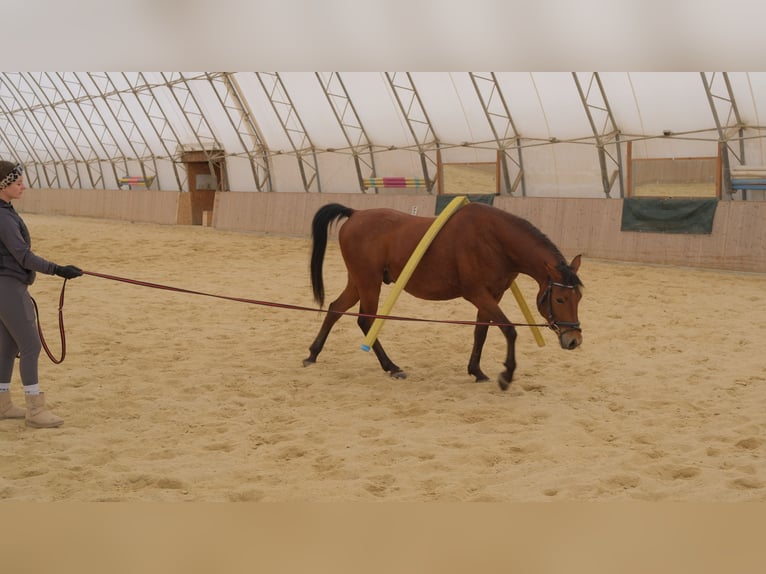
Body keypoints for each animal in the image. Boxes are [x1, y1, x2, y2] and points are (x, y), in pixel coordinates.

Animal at [303, 201, 583, 390]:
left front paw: (476, 370)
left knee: (335, 308)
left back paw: (313, 354)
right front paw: (507, 375)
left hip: (358, 282)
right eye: (559, 299)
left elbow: (481, 331)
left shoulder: (493, 295)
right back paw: (392, 367)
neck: (493, 240)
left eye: (578, 298)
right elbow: (509, 329)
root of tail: (356, 213)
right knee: (366, 320)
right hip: (368, 282)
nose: (574, 340)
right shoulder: (478, 294)